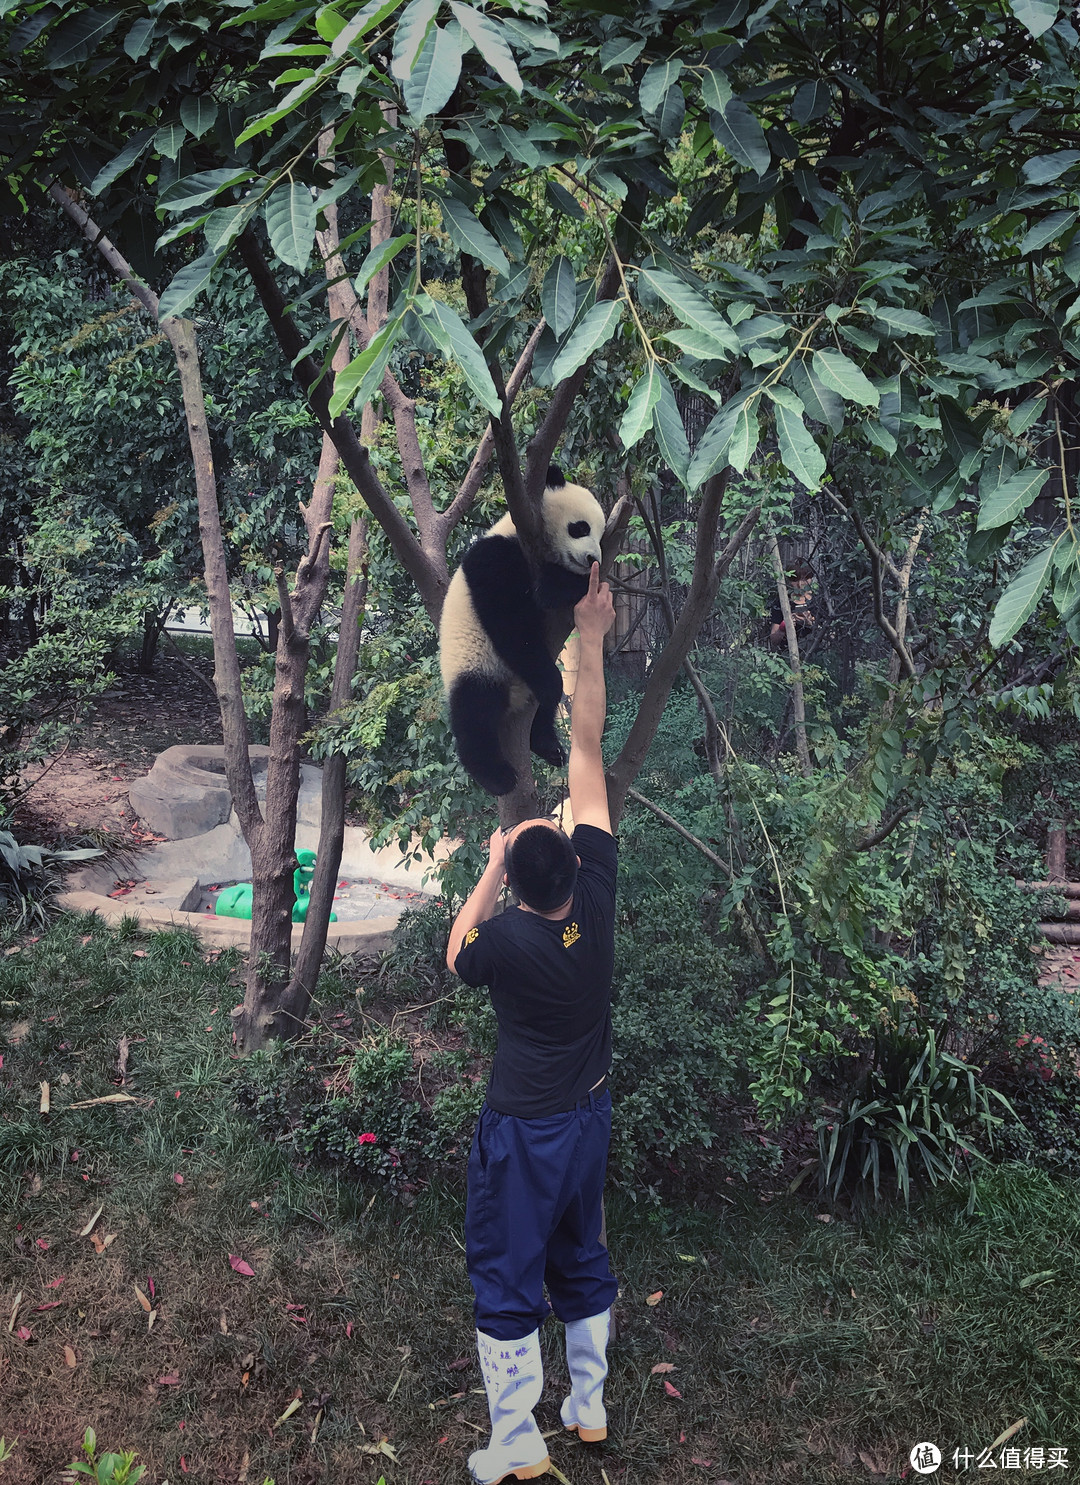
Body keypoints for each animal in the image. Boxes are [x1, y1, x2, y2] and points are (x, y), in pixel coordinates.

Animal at [439, 466, 609, 795]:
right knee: (474, 712)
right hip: (476, 664)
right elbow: (512, 624)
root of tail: (514, 696)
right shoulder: (495, 557)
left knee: (545, 709)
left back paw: (547, 745)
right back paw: (495, 775)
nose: (592, 560)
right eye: (580, 528)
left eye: (601, 535)